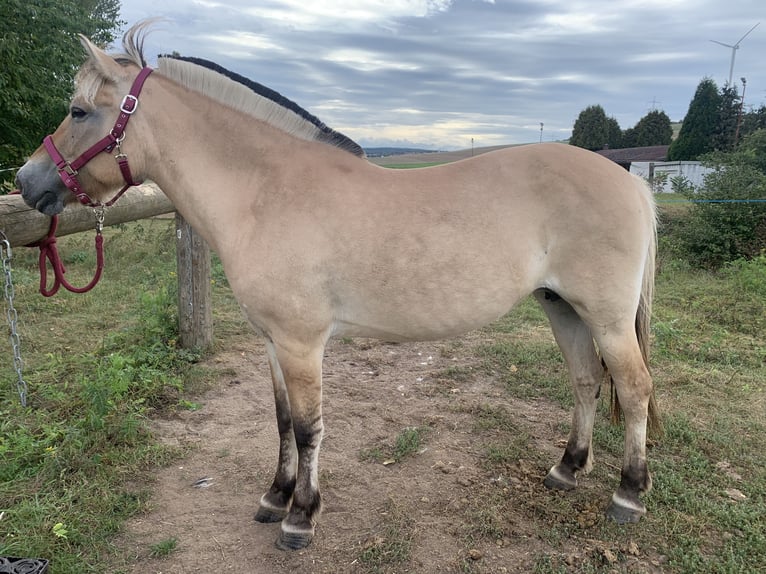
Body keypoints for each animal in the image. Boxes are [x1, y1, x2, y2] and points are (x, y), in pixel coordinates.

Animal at [15, 23, 664, 552]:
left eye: (79, 111)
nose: (26, 182)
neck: (265, 192)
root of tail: (632, 182)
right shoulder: (273, 342)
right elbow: (281, 421)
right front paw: (274, 496)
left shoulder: (302, 343)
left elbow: (308, 427)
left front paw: (300, 517)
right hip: (563, 307)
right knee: (585, 381)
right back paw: (567, 469)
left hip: (605, 316)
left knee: (633, 389)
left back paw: (628, 494)